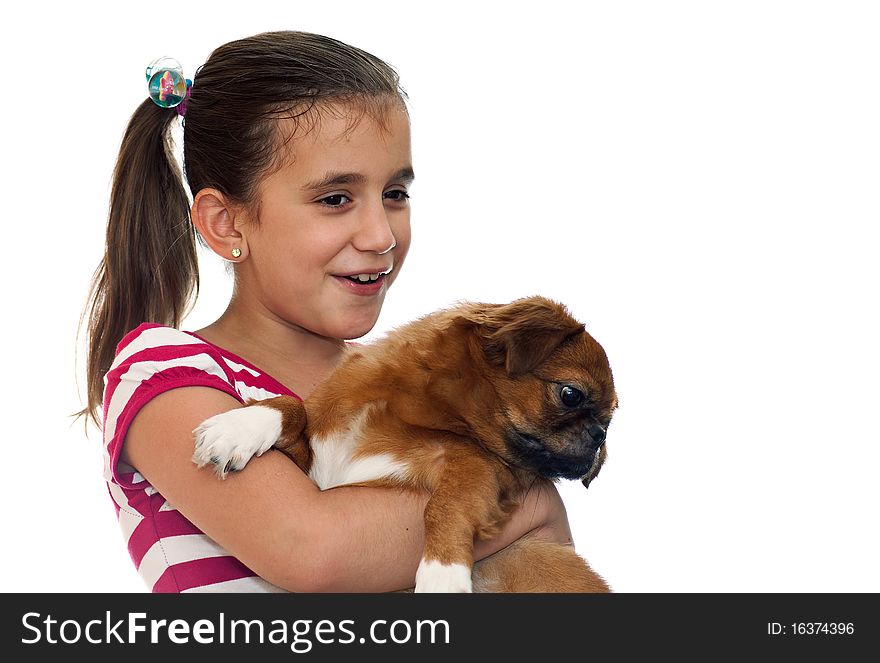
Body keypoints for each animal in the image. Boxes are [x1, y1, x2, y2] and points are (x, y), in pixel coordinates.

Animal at [192, 296, 620, 592]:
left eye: (609, 420)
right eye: (571, 394)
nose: (599, 436)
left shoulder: (478, 467)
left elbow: (445, 504)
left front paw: (442, 573)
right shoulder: (313, 467)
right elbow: (293, 406)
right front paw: (240, 426)